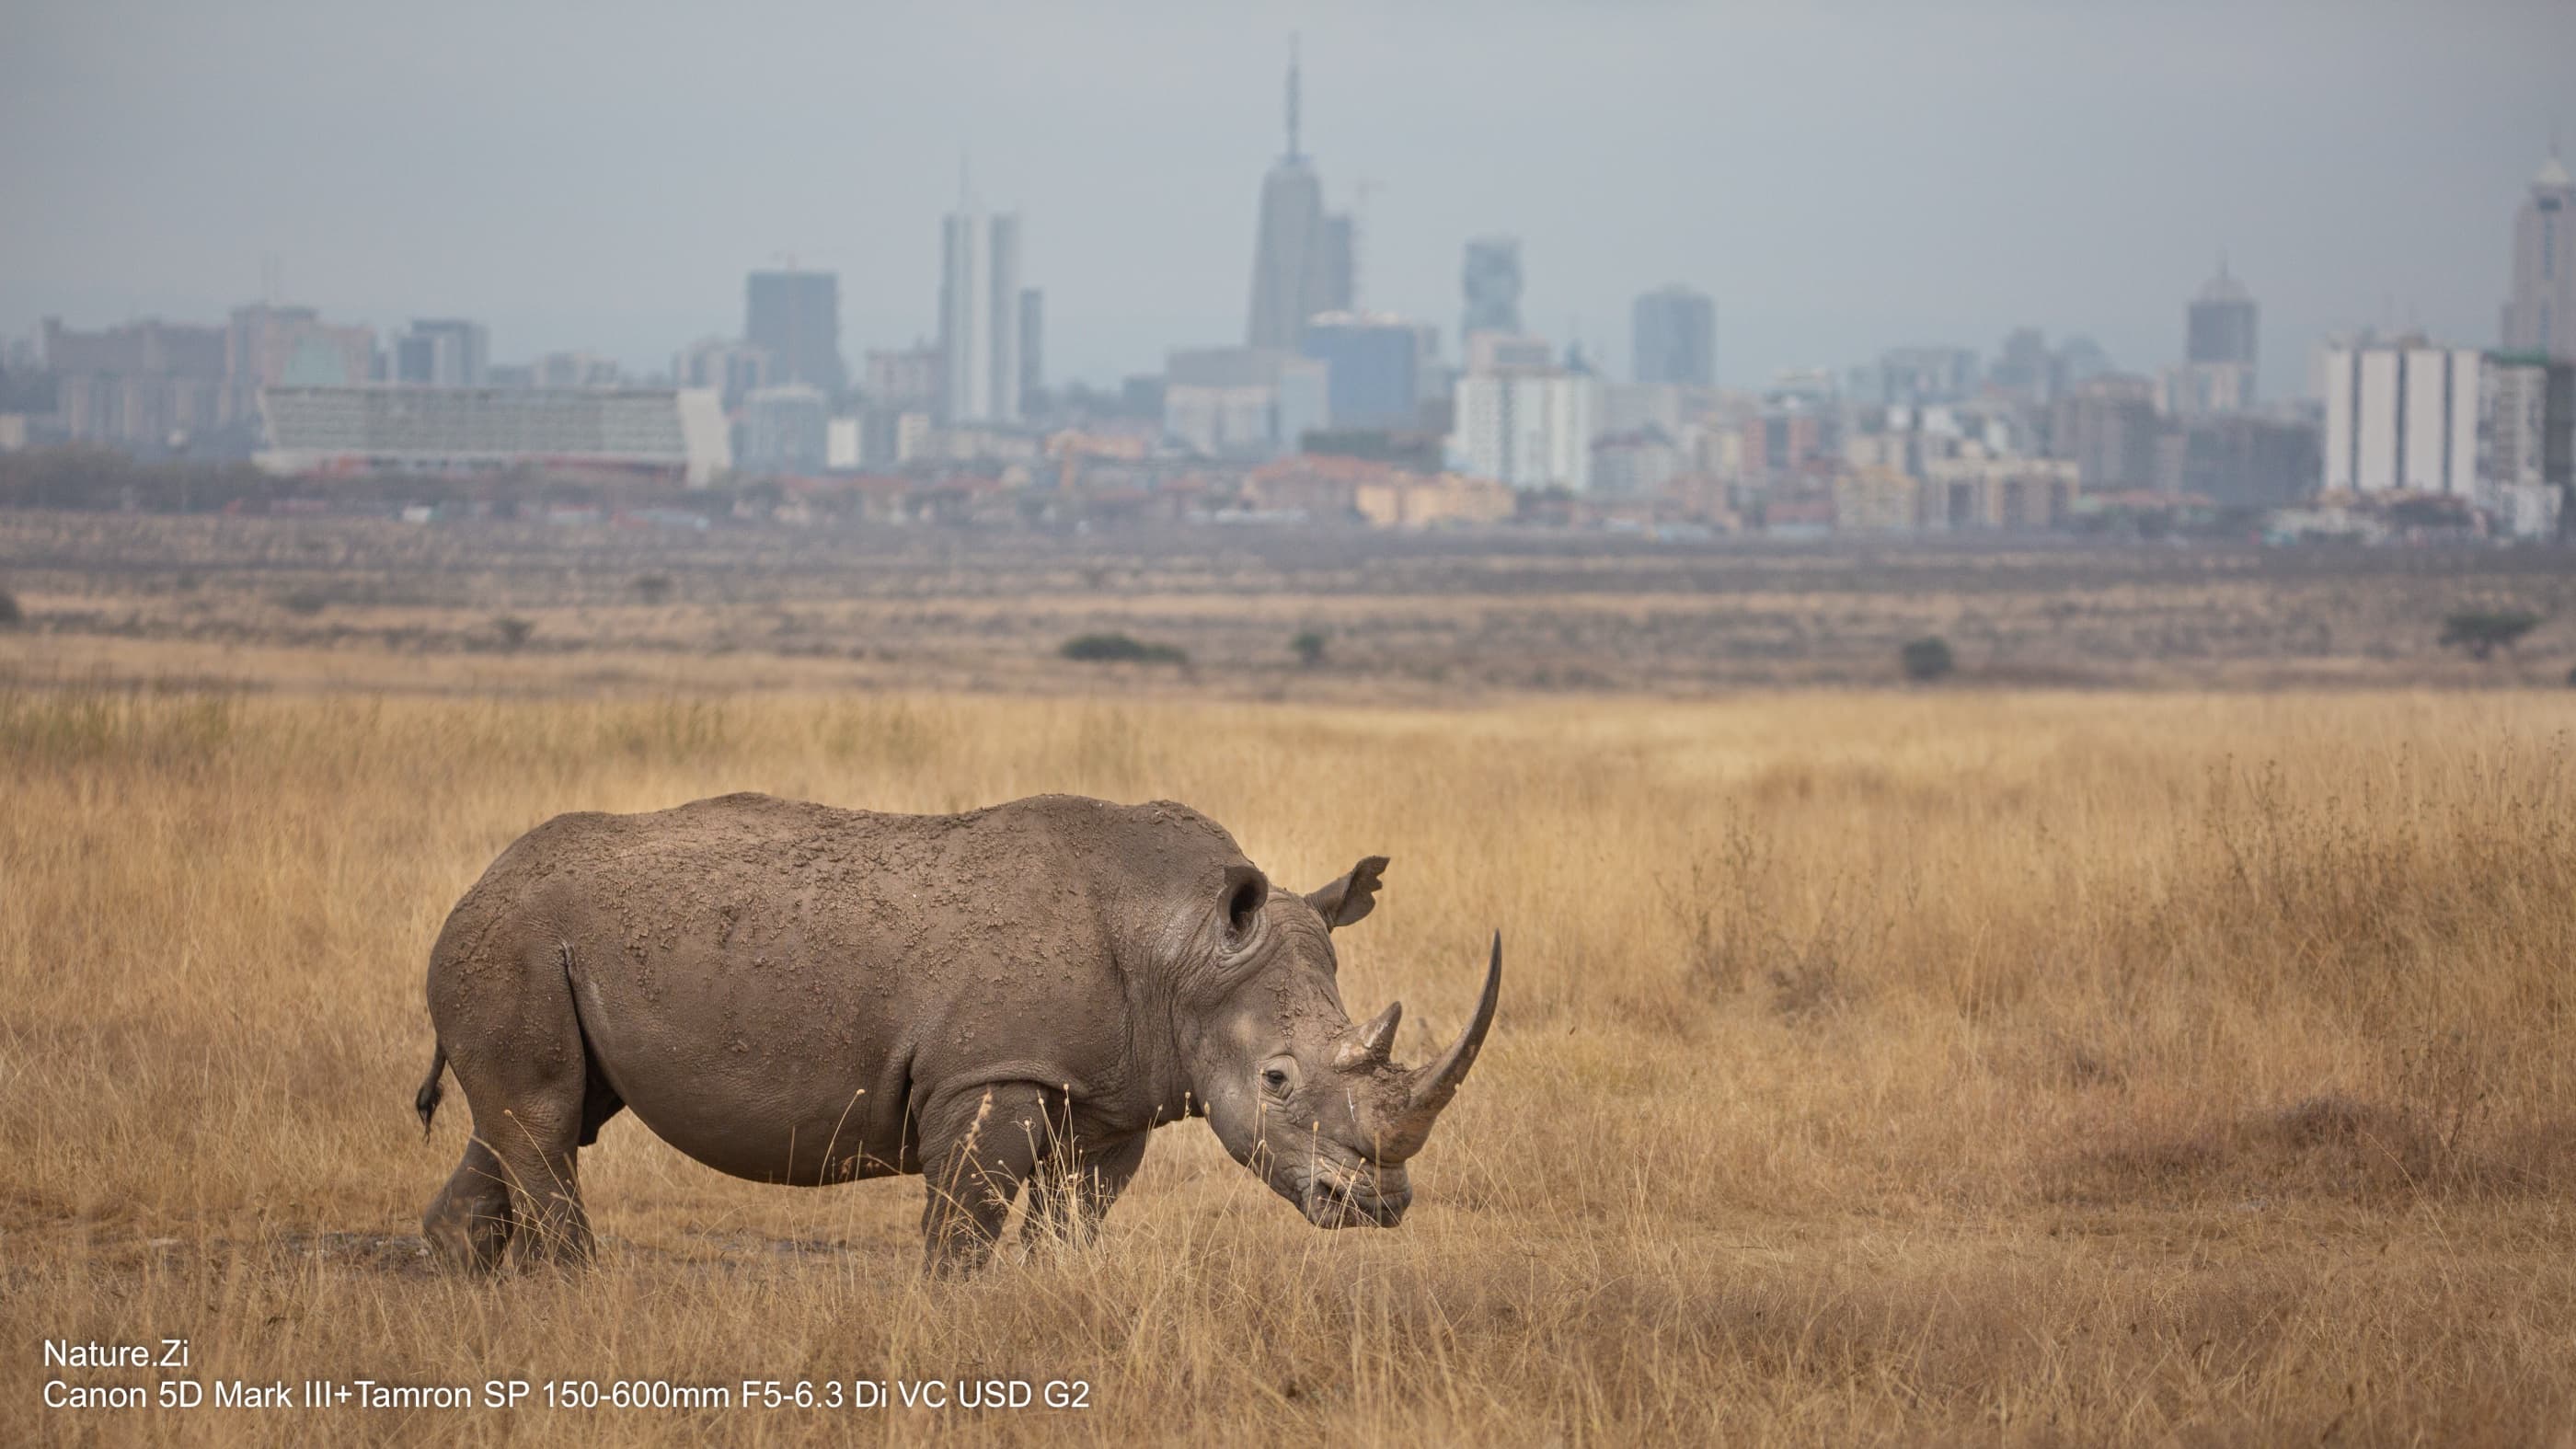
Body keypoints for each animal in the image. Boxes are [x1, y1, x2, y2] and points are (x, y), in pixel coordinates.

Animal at [413, 791, 1500, 1273]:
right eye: (1277, 1080)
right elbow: (963, 1227)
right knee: (544, 1117)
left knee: (534, 1117)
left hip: (536, 942)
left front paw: (1059, 1297)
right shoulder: (991, 1072)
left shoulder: (1111, 1094)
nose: (1378, 1205)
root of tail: (476, 886)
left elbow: (1073, 1218)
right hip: (515, 938)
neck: (1183, 944)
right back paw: (577, 1287)